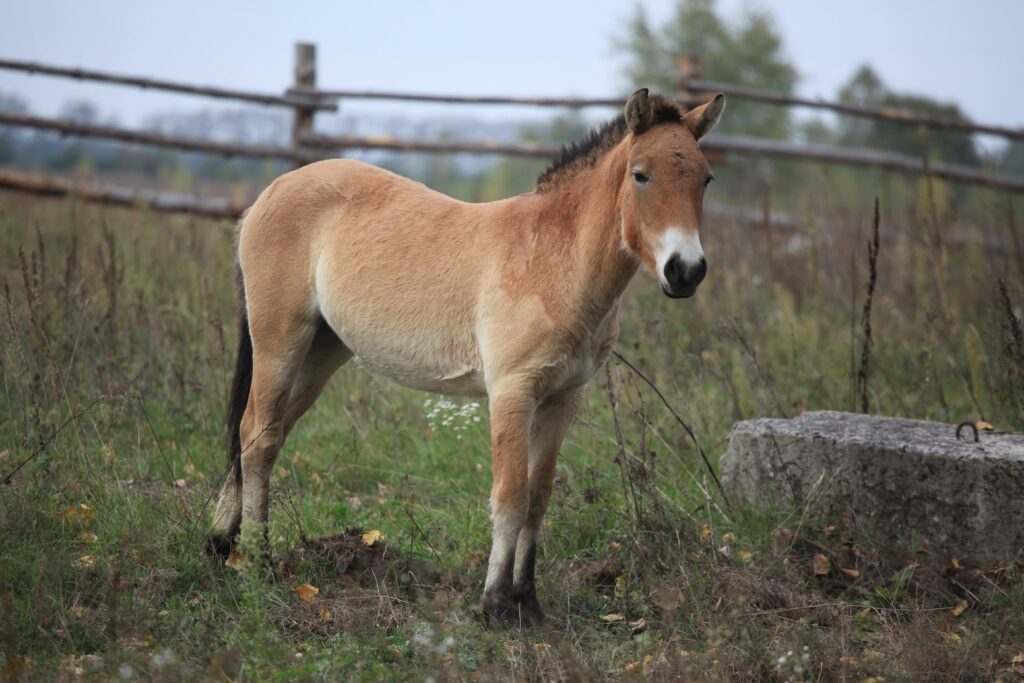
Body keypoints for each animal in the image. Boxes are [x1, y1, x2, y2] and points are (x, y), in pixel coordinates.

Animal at [208, 88, 725, 626]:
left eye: (706, 178)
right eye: (640, 174)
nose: (685, 271)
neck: (552, 261)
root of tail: (269, 193)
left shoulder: (563, 399)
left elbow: (538, 497)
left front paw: (528, 601)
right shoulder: (512, 393)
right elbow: (510, 496)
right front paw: (494, 603)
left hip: (320, 354)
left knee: (266, 434)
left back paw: (222, 543)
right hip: (279, 343)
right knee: (257, 436)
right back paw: (258, 562)